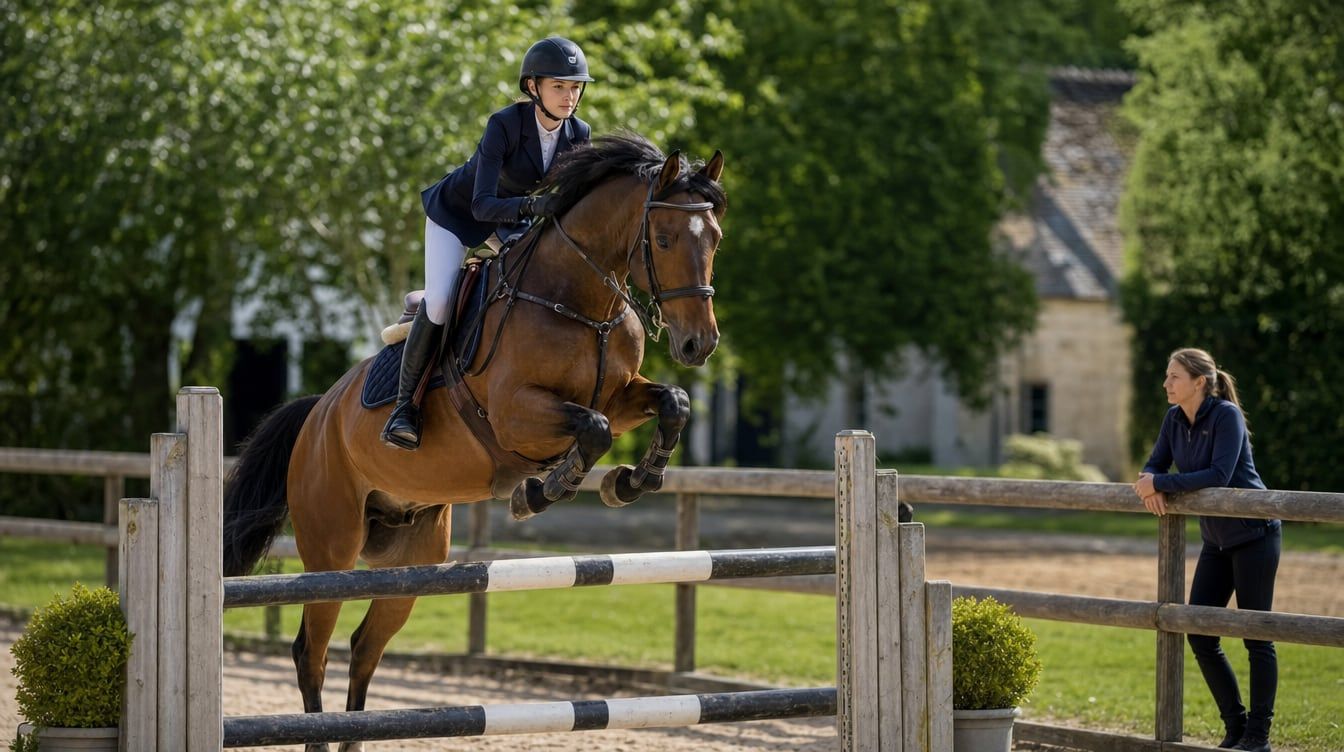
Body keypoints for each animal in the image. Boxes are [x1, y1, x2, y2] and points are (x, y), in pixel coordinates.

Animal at [220, 133, 725, 750]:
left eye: (715, 239)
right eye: (665, 237)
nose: (699, 344)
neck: (581, 304)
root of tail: (317, 413)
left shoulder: (622, 395)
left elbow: (670, 403)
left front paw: (634, 480)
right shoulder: (515, 413)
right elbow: (593, 430)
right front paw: (540, 491)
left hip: (412, 557)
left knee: (364, 648)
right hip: (331, 549)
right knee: (310, 651)